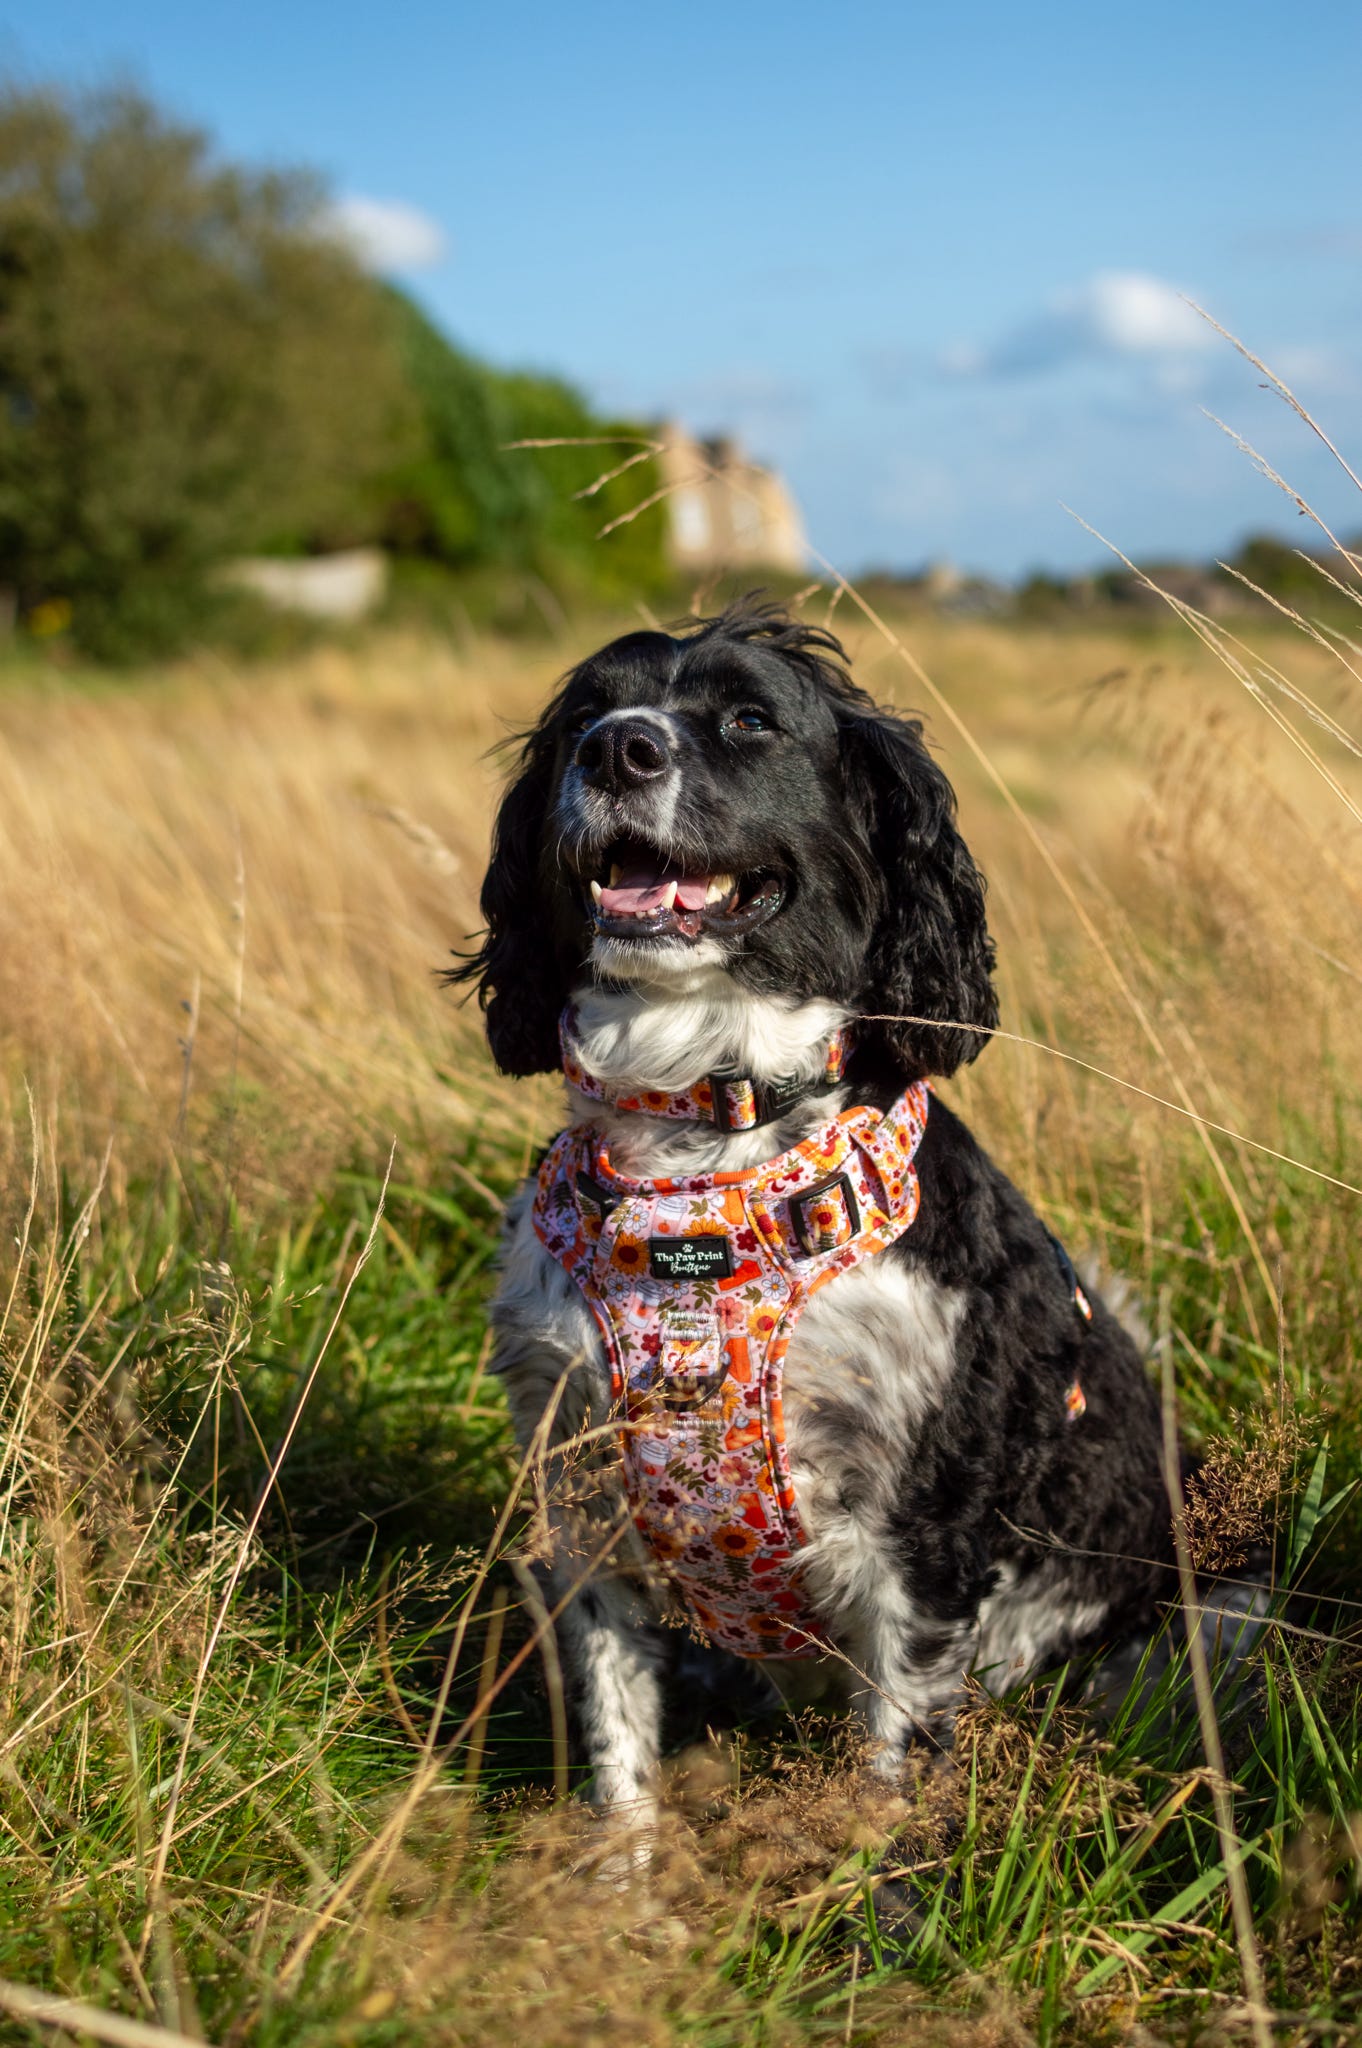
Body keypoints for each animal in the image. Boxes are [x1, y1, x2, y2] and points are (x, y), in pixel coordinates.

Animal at [456, 598, 1179, 1835]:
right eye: (584, 714)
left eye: (751, 719)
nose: (618, 749)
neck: (705, 1158)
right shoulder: (584, 1494)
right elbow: (618, 1744)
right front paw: (625, 1872)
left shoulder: (921, 1528)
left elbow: (893, 1765)